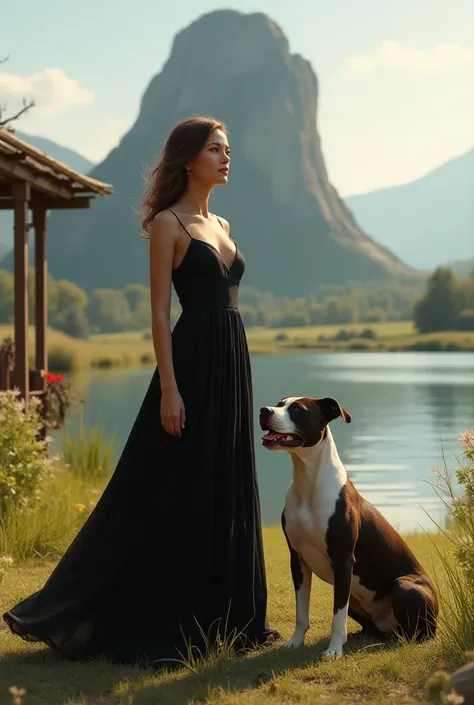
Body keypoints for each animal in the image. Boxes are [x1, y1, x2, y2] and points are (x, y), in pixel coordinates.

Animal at [260, 394, 440, 656]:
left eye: (297, 409)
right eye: (279, 403)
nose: (263, 410)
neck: (308, 484)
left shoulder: (343, 560)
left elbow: (337, 616)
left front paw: (334, 649)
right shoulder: (298, 559)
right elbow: (301, 610)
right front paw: (295, 641)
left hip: (404, 586)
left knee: (419, 632)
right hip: (354, 596)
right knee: (372, 626)